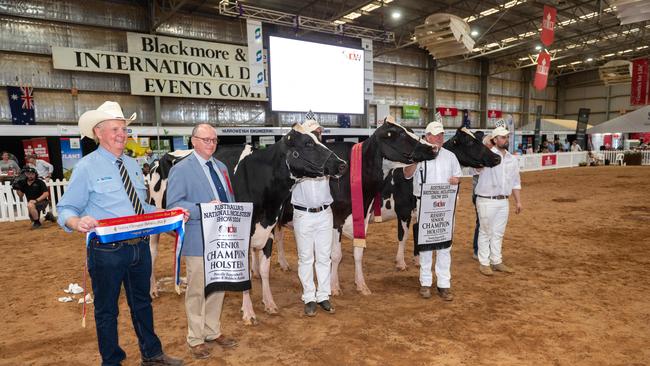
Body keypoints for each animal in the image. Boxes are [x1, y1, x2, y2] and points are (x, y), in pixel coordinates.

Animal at [149, 124, 346, 324]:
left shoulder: (269, 230)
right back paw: (153, 290)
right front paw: (249, 312)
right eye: (307, 144)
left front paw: (269, 303)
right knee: (153, 253)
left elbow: (265, 270)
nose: (342, 164)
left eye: (319, 140)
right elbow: (245, 274)